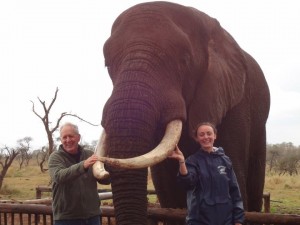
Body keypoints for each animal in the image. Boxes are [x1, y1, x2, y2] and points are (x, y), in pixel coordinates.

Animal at [92, 2, 270, 225]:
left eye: (184, 61)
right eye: (107, 64)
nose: (105, 174)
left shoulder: (236, 102)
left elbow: (235, 179)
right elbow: (167, 193)